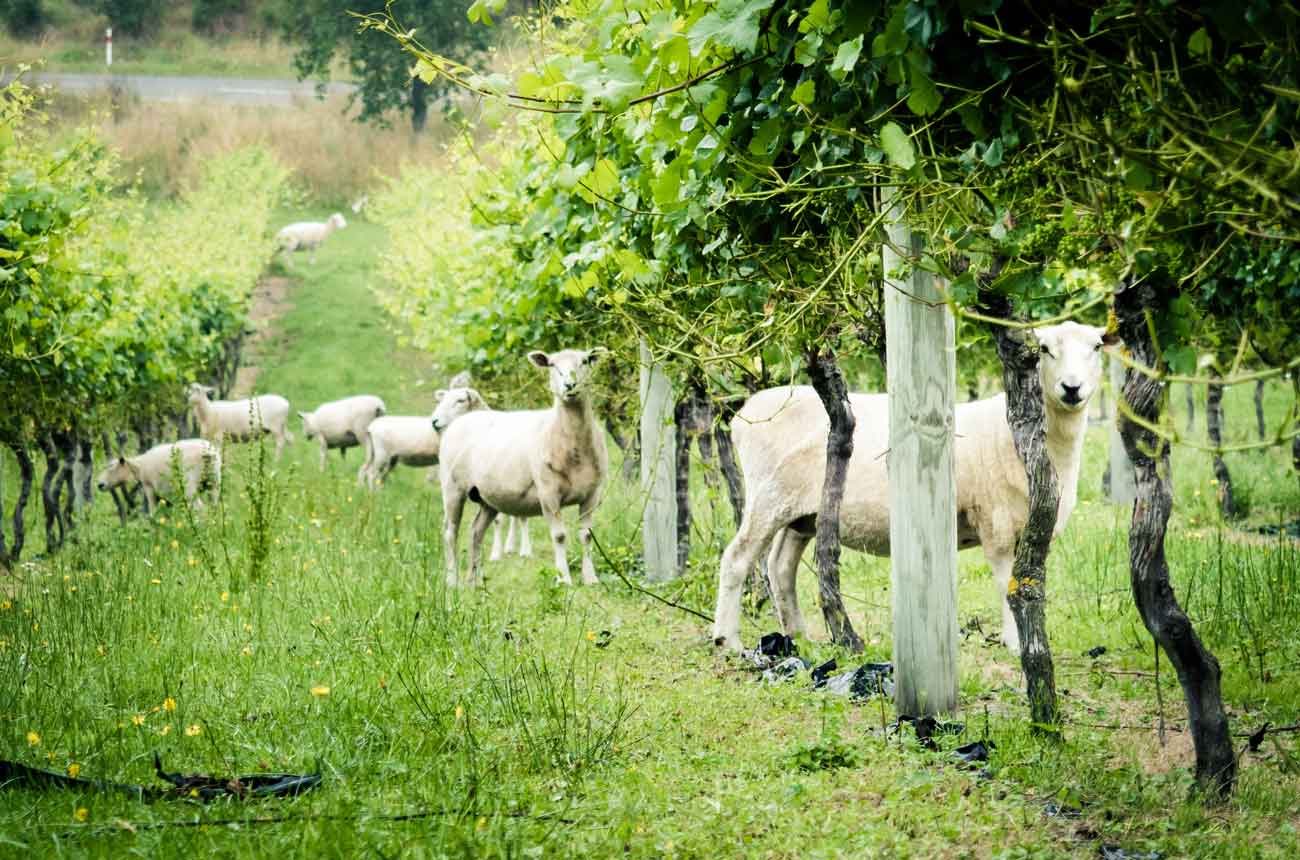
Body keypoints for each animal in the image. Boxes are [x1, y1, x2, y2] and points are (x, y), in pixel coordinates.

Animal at [438, 348, 609, 587]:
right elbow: (559, 536)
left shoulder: (592, 494)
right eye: (552, 365)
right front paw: (564, 578)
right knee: (450, 532)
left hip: (487, 496)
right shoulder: (548, 493)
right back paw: (453, 580)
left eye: (585, 361)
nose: (570, 385)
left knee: (476, 531)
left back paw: (476, 580)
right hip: (452, 488)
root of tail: (462, 420)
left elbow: (586, 535)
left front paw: (590, 578)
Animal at [712, 322, 1112, 654]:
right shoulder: (994, 523)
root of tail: (746, 413)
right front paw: (1017, 646)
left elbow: (1030, 584)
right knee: (737, 558)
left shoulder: (1037, 529)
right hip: (767, 496)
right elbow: (1006, 585)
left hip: (803, 512)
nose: (1072, 388)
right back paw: (727, 640)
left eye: (1096, 347)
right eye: (1044, 349)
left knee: (780, 567)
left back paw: (799, 636)